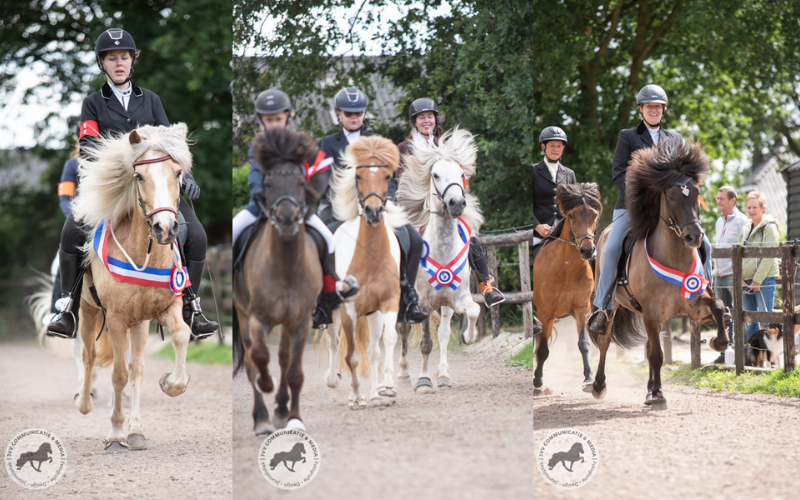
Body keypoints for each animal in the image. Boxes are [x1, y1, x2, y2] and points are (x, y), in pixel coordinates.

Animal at [72, 123, 197, 452]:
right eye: (139, 176)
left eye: (178, 173)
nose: (165, 229)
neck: (145, 252)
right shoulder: (115, 319)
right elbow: (117, 374)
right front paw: (116, 434)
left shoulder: (164, 309)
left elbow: (181, 335)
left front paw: (170, 384)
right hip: (89, 312)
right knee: (88, 355)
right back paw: (83, 402)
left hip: (138, 322)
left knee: (136, 368)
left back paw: (136, 429)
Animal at [233, 128, 326, 434]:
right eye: (269, 183)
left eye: (301, 182)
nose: (286, 219)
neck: (286, 268)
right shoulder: (257, 318)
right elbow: (260, 357)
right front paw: (267, 384)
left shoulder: (301, 321)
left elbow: (294, 370)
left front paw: (294, 417)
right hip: (243, 314)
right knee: (251, 359)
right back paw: (262, 417)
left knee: (285, 357)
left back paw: (282, 409)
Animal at [396, 128, 484, 390]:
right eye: (435, 175)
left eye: (462, 174)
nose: (457, 203)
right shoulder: (423, 304)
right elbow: (425, 343)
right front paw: (423, 381)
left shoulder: (458, 298)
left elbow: (473, 311)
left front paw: (468, 336)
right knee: (402, 330)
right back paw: (402, 375)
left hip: (444, 305)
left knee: (444, 333)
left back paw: (443, 375)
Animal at [536, 182, 604, 396]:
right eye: (572, 215)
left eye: (594, 215)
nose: (587, 250)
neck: (566, 269)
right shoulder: (546, 314)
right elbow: (543, 349)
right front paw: (537, 382)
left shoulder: (581, 310)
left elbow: (584, 344)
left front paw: (588, 379)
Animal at [592, 141, 728, 406]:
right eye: (672, 196)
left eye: (696, 193)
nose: (694, 237)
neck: (674, 257)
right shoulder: (652, 314)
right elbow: (657, 355)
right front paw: (658, 395)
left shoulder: (692, 306)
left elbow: (717, 305)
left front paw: (719, 341)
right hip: (614, 306)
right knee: (604, 342)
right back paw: (599, 385)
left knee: (646, 348)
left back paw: (648, 387)